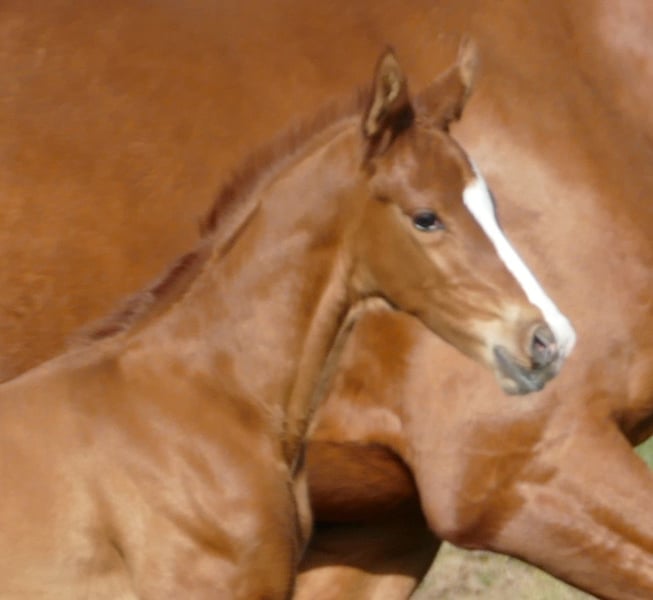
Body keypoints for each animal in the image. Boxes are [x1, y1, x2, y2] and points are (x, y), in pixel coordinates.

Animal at [1, 1, 652, 599]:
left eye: (490, 204)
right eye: (425, 217)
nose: (548, 339)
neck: (199, 398)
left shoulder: (383, 528)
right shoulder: (522, 469)